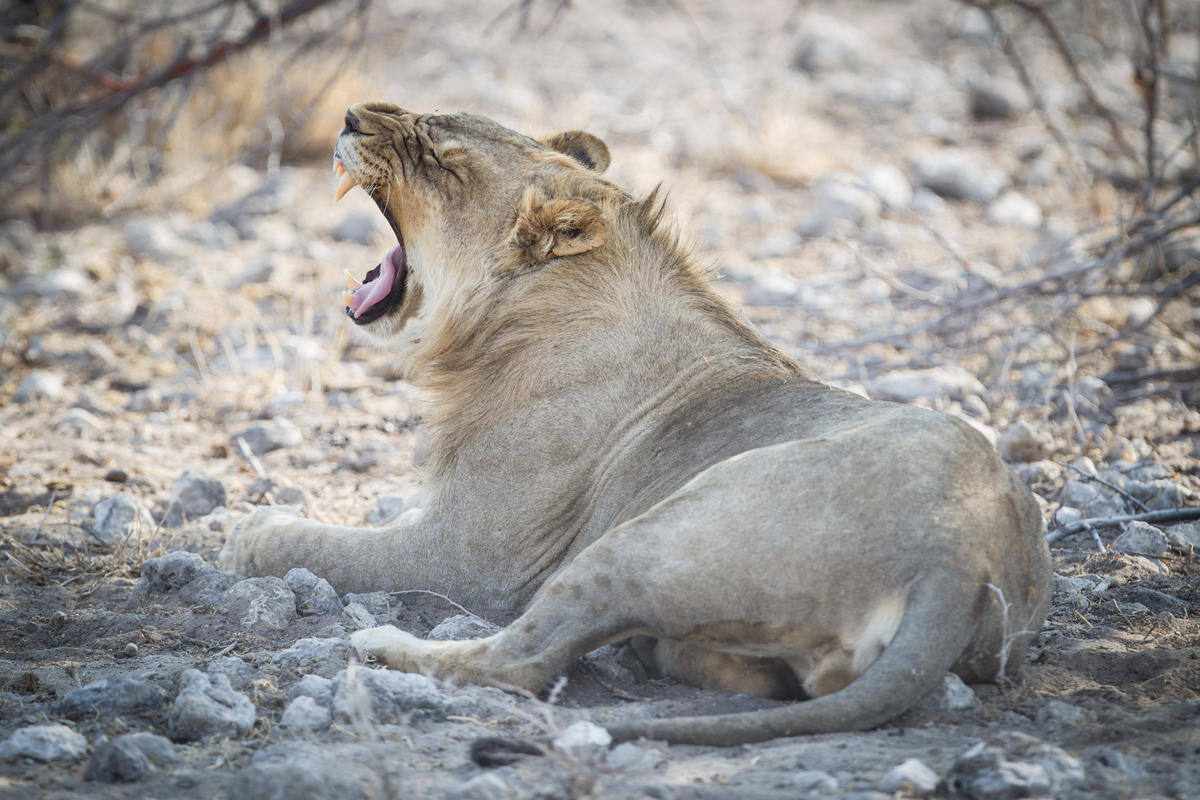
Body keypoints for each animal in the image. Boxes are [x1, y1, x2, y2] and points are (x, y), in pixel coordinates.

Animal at [220, 103, 1046, 748]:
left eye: (443, 161)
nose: (352, 116)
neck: (512, 319)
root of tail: (959, 552)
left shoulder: (474, 555)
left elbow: (332, 544)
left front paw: (251, 528)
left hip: (653, 531)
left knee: (517, 660)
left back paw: (380, 642)